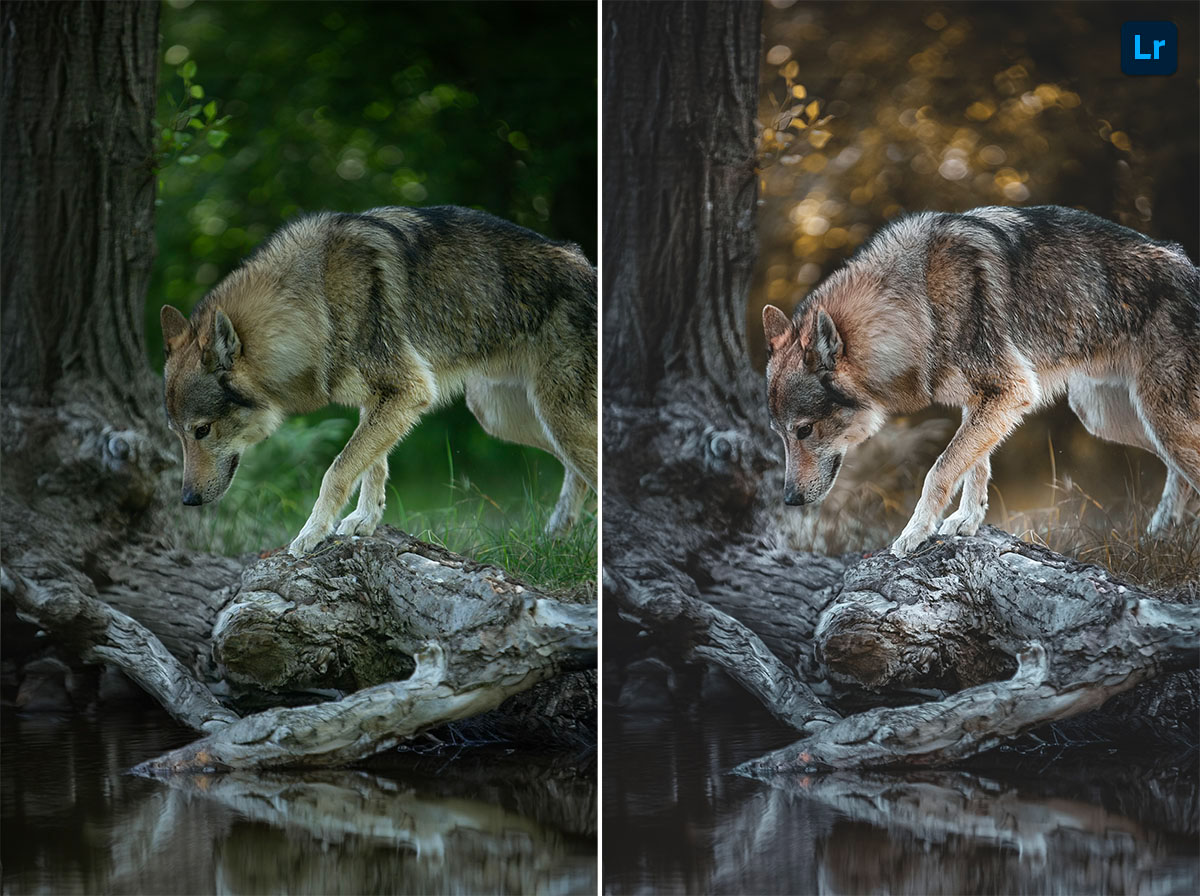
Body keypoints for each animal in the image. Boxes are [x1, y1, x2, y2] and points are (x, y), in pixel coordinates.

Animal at [160, 205, 596, 556]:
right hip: (507, 419)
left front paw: (311, 533)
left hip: (556, 420)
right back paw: (558, 533)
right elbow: (373, 467)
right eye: (178, 435)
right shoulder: (382, 400)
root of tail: (587, 268)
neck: (316, 301)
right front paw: (364, 521)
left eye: (201, 430)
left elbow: (337, 470)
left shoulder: (408, 392)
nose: (187, 500)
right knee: (576, 472)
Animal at [761, 205, 1200, 556]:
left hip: (1161, 422)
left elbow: (939, 471)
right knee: (1178, 475)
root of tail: (1191, 268)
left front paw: (914, 533)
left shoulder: (1010, 392)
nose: (789, 499)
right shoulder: (984, 400)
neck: (919, 301)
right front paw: (966, 522)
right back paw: (1162, 532)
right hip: (1112, 419)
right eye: (780, 435)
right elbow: (975, 467)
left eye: (803, 430)